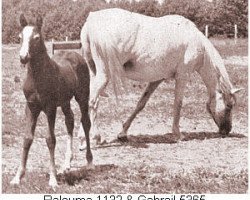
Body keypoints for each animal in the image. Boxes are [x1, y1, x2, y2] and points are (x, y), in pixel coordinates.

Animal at [10, 14, 92, 188]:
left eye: (36, 37)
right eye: (20, 37)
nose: (23, 57)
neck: (38, 77)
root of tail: (75, 54)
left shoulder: (50, 108)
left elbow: (50, 139)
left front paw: (53, 179)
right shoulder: (31, 107)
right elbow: (27, 138)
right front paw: (17, 177)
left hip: (82, 97)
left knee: (85, 122)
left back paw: (89, 162)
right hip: (65, 102)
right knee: (70, 121)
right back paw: (66, 164)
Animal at [78, 8, 242, 145]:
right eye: (229, 105)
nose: (227, 131)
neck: (198, 44)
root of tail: (91, 20)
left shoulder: (157, 79)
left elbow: (141, 104)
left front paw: (123, 133)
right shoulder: (182, 76)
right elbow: (178, 103)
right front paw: (178, 134)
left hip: (94, 74)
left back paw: (84, 137)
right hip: (104, 75)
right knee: (92, 101)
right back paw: (96, 138)